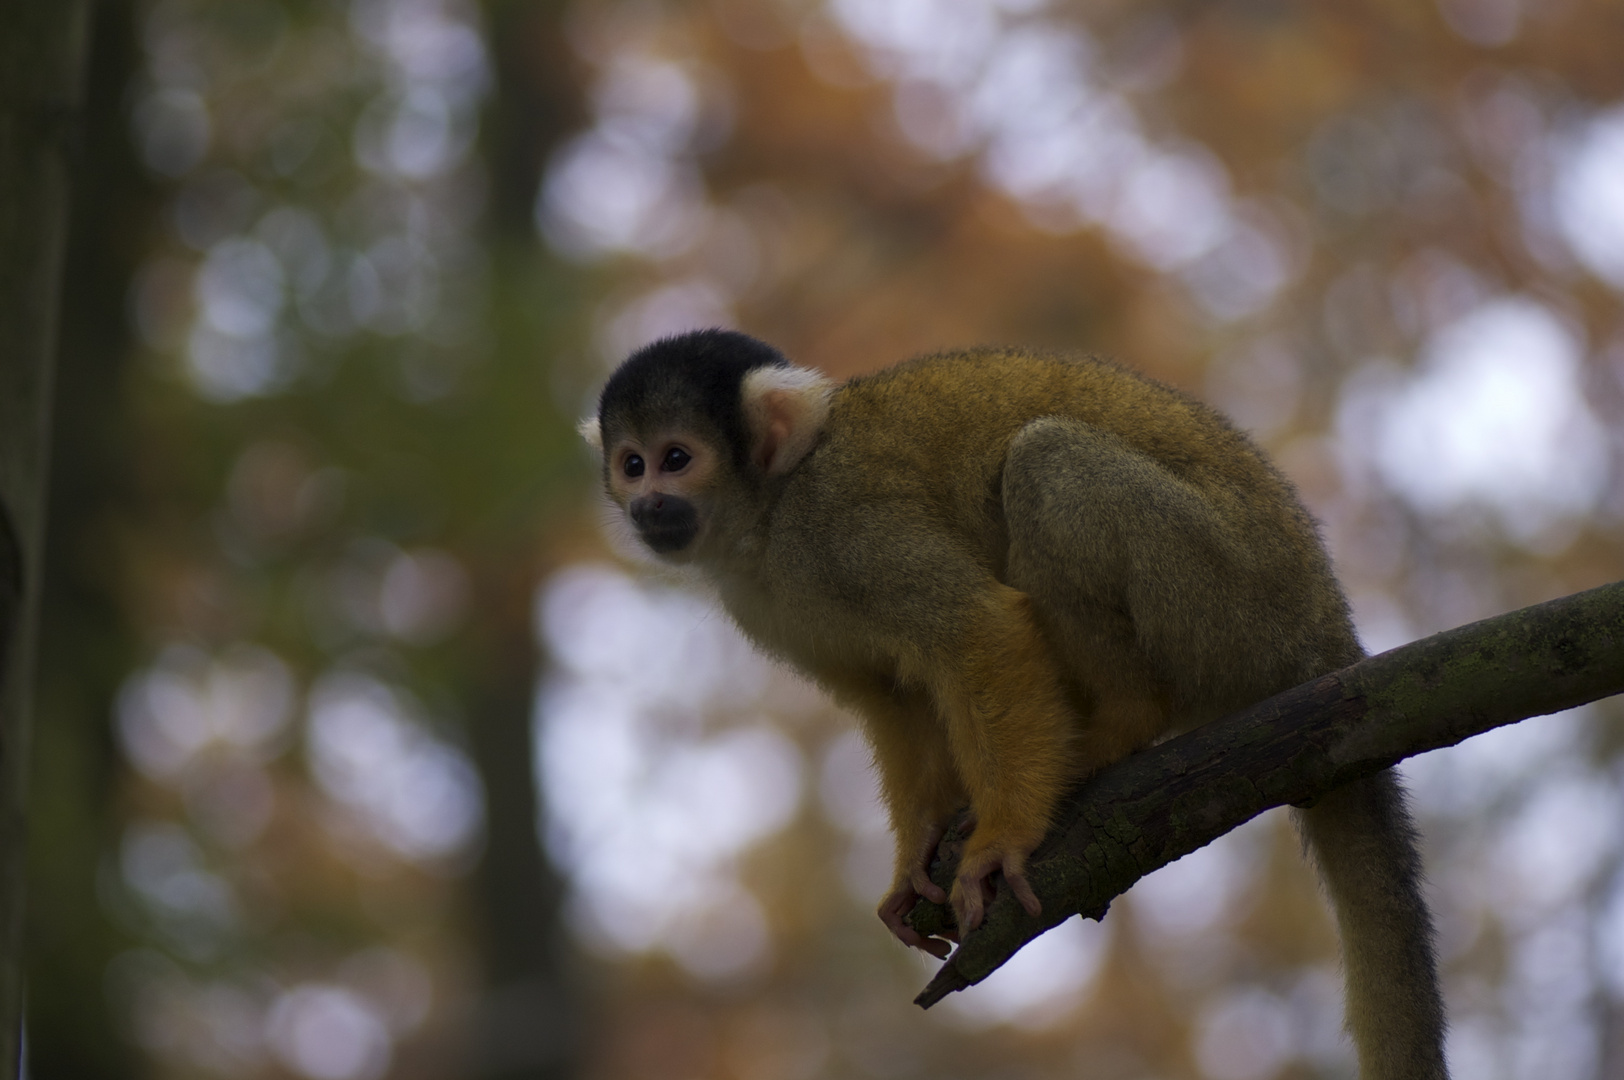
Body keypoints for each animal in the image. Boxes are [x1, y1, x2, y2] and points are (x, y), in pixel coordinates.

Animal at [581, 328, 1448, 1078]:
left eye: (677, 459)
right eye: (632, 464)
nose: (648, 502)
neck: (769, 509)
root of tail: (1328, 633)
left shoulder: (842, 524)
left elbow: (977, 628)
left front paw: (999, 842)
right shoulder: (765, 601)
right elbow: (894, 699)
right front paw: (917, 856)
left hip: (1233, 604)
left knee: (1047, 461)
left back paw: (1120, 723)